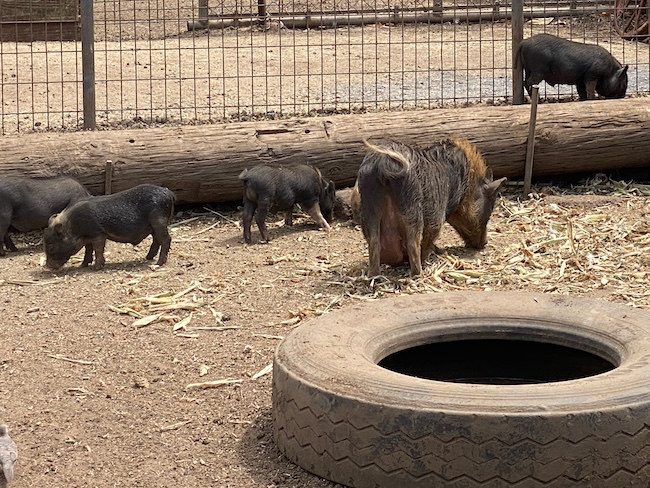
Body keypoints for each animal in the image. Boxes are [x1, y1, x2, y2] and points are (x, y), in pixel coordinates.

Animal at [43, 184, 175, 270]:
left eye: (50, 247)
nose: (47, 267)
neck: (73, 226)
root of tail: (169, 193)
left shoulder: (98, 233)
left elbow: (98, 249)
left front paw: (96, 267)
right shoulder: (89, 237)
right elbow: (88, 249)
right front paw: (83, 265)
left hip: (159, 221)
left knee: (166, 239)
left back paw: (158, 264)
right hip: (154, 226)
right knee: (156, 240)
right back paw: (148, 257)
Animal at [357, 138, 506, 277]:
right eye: (490, 208)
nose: (485, 243)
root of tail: (383, 163)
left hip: (369, 205)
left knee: (374, 242)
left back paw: (374, 276)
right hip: (412, 205)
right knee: (413, 243)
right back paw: (418, 274)